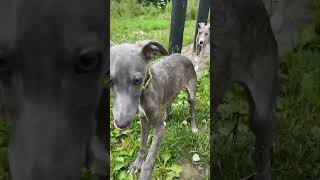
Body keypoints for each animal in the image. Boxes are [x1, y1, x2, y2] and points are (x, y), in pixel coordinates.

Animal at [111, 40, 199, 179]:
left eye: (137, 80)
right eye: (109, 81)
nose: (120, 124)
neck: (145, 91)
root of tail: (183, 56)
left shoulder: (159, 129)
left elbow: (150, 159)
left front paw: (144, 174)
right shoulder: (144, 120)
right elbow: (142, 146)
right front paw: (137, 165)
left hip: (191, 94)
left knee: (192, 111)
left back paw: (193, 127)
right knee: (168, 106)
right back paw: (165, 117)